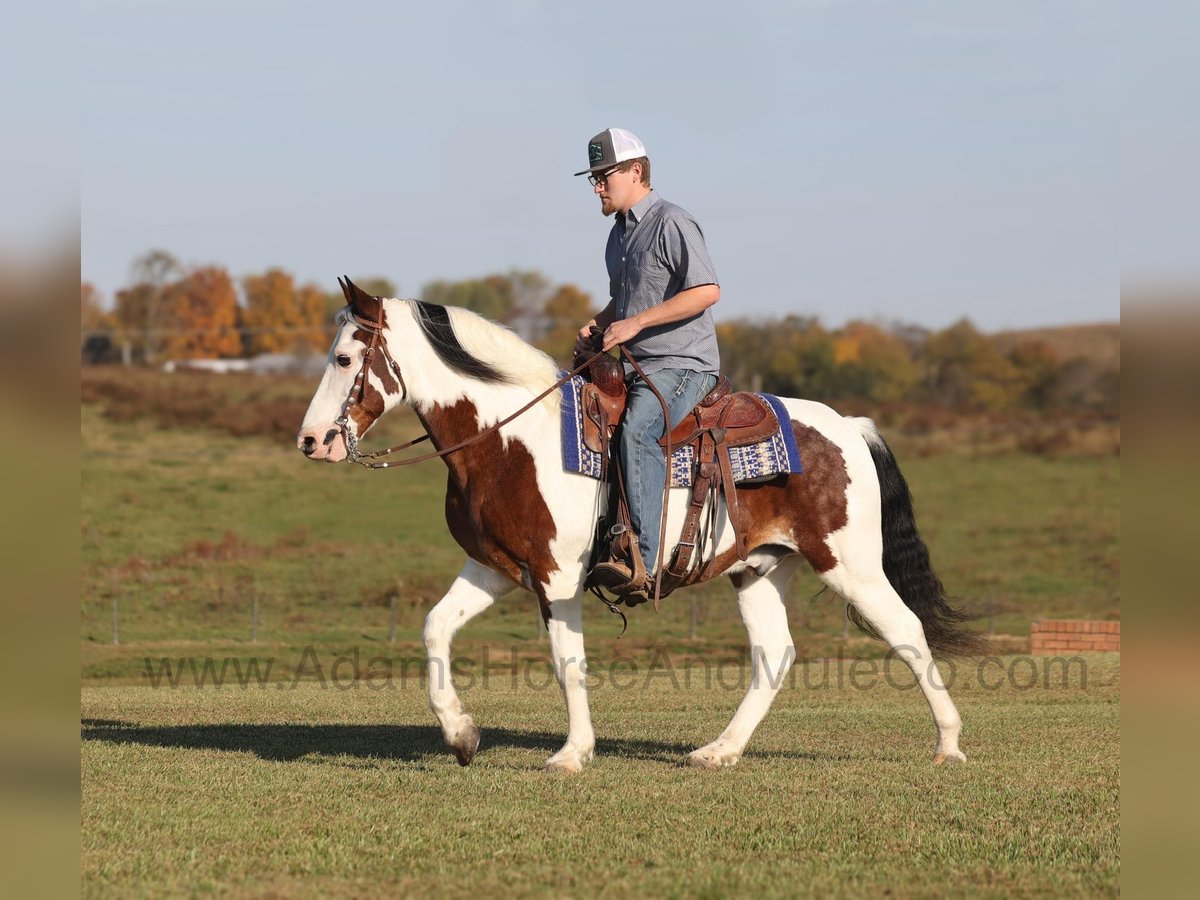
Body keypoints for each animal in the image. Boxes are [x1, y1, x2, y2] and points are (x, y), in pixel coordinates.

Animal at [300, 282, 984, 777]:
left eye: (344, 358)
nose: (311, 441)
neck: (508, 437)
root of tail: (850, 426)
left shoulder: (557, 578)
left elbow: (567, 662)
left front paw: (571, 754)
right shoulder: (496, 567)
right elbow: (436, 627)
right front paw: (462, 734)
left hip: (850, 565)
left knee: (907, 632)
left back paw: (949, 745)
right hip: (759, 569)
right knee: (774, 655)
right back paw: (719, 751)